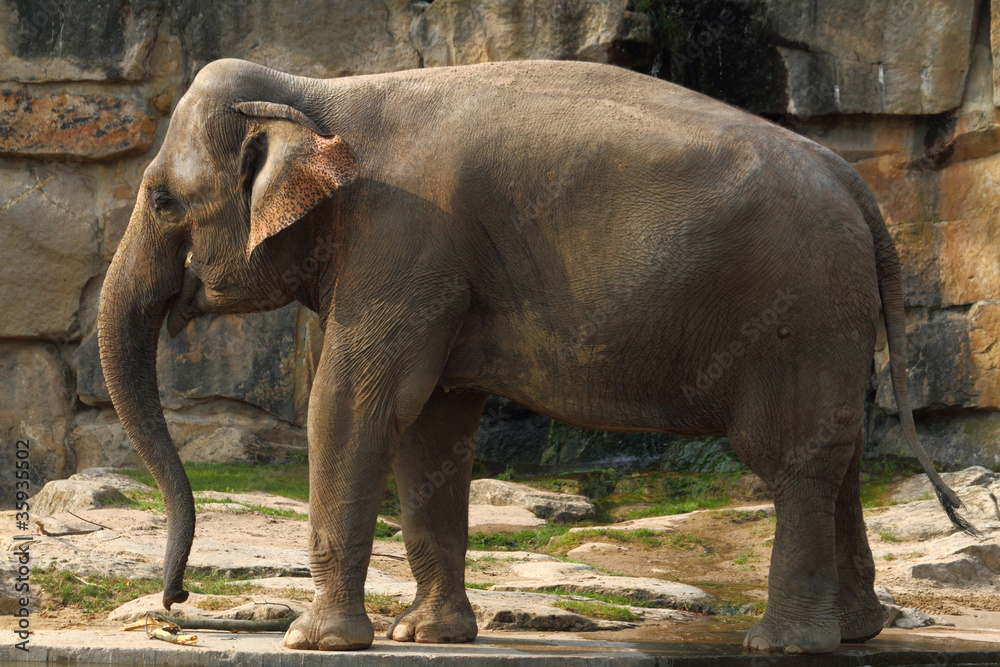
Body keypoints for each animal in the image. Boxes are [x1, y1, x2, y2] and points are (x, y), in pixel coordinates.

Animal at [98, 58, 972, 654]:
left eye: (163, 200)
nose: (175, 600)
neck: (319, 92)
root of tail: (856, 185)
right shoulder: (425, 263)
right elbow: (431, 426)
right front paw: (428, 636)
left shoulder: (402, 240)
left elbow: (353, 405)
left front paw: (313, 642)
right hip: (834, 315)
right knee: (841, 455)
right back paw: (857, 631)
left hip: (798, 306)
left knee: (790, 458)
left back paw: (783, 642)